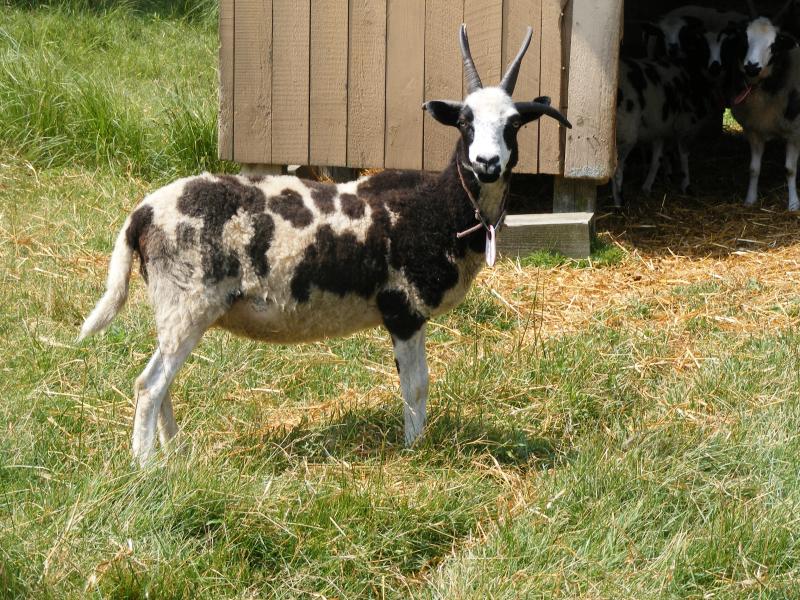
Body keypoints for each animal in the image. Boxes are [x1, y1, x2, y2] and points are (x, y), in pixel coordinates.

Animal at [78, 24, 571, 465]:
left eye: (514, 124)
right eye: (465, 122)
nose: (487, 163)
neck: (439, 208)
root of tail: (141, 214)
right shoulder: (404, 308)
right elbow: (415, 386)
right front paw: (415, 451)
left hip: (178, 308)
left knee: (162, 384)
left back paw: (177, 457)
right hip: (187, 299)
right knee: (149, 386)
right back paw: (146, 468)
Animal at [729, 10, 800, 211]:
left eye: (773, 45)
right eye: (745, 38)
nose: (752, 67)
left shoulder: (794, 131)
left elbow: (790, 169)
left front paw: (793, 204)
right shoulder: (754, 130)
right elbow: (754, 169)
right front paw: (750, 199)